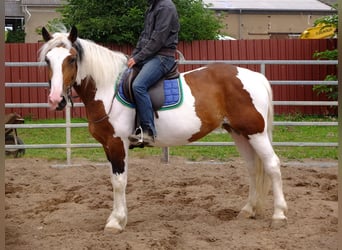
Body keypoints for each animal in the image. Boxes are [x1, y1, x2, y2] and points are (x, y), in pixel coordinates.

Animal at [38, 26, 288, 233]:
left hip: (256, 133)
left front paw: (115, 222)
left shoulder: (117, 143)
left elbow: (119, 182)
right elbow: (116, 179)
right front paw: (119, 218)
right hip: (240, 133)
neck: (108, 88)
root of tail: (255, 76)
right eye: (48, 60)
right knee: (253, 168)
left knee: (272, 165)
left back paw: (279, 215)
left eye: (71, 59)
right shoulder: (110, 146)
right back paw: (248, 210)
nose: (55, 99)